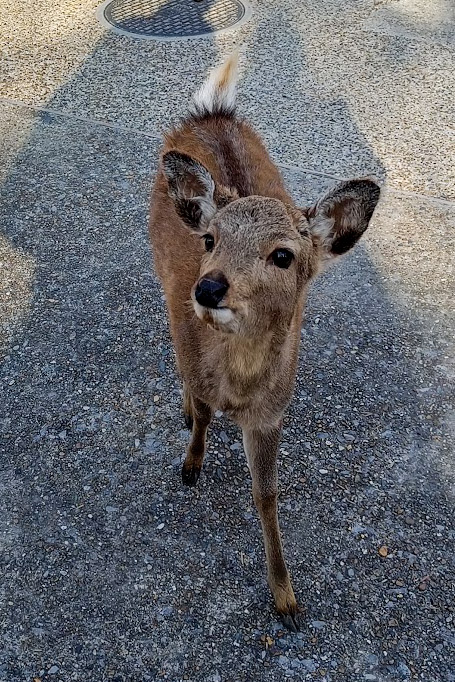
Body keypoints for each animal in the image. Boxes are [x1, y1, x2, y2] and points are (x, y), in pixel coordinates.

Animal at [149, 52, 380, 631]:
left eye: (282, 255)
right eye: (210, 240)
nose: (207, 287)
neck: (236, 387)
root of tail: (211, 110)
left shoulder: (273, 412)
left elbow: (268, 494)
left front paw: (288, 601)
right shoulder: (194, 354)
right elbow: (201, 414)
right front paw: (191, 465)